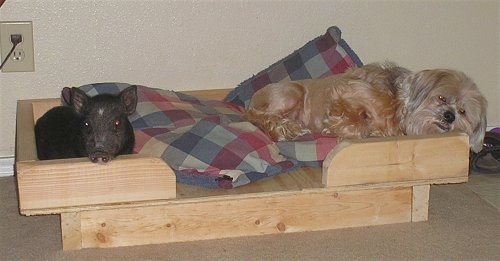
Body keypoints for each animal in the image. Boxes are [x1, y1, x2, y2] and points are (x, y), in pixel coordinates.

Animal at [246, 62, 488, 152]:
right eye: (441, 98)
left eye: (463, 111)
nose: (450, 116)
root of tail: (250, 100)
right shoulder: (349, 89)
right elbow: (358, 121)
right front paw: (338, 122)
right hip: (291, 93)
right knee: (260, 116)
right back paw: (286, 128)